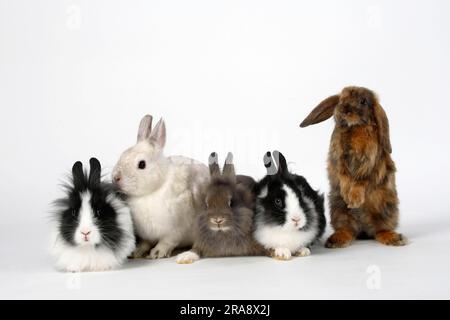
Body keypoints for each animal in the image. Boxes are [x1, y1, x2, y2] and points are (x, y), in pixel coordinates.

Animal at [112, 114, 211, 258]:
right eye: (122, 155)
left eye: (142, 164)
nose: (116, 178)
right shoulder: (147, 235)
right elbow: (145, 243)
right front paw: (136, 252)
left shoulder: (175, 231)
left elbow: (167, 242)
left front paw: (157, 253)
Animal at [298, 87, 408, 248]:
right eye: (341, 99)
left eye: (363, 101)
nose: (343, 109)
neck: (355, 128)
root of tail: (363, 231)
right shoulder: (339, 158)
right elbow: (343, 174)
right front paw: (347, 194)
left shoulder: (369, 160)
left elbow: (360, 179)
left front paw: (354, 200)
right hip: (338, 209)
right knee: (347, 229)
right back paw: (336, 240)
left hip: (386, 208)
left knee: (379, 230)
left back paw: (394, 238)